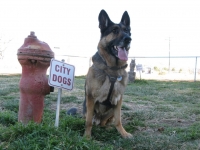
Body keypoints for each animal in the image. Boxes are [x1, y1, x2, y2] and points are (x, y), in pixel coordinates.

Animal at [83, 9, 133, 138]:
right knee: (92, 120)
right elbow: (88, 121)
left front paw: (123, 133)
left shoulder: (119, 100)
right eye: (114, 31)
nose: (128, 39)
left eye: (127, 31)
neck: (112, 69)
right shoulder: (90, 98)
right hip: (86, 107)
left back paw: (107, 128)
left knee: (105, 122)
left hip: (111, 110)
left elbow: (118, 120)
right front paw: (87, 136)